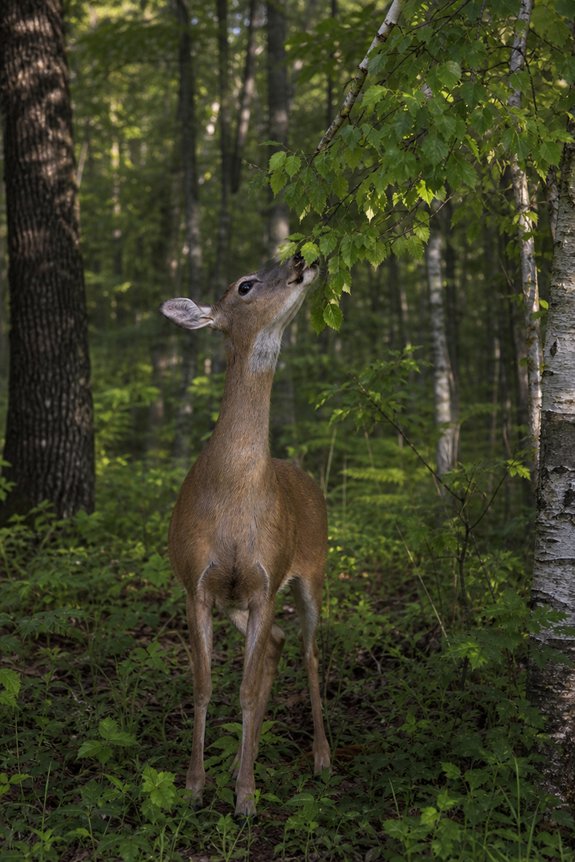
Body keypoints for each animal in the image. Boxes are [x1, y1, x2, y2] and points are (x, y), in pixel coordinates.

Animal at [160, 253, 331, 816]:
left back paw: (322, 758)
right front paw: (195, 787)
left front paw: (246, 798)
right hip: (236, 604)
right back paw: (242, 760)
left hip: (312, 572)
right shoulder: (198, 585)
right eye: (245, 285)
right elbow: (205, 686)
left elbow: (247, 692)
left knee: (308, 652)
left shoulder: (264, 584)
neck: (233, 490)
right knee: (278, 645)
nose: (303, 258)